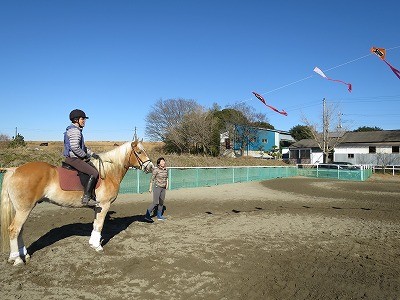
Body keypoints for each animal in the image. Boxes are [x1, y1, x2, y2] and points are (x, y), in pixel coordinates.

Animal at [0, 139, 153, 266]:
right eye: (139, 152)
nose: (151, 167)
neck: (108, 172)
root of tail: (15, 170)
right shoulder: (104, 205)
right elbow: (99, 225)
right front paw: (98, 247)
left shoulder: (97, 207)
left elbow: (95, 224)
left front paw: (92, 243)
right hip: (24, 209)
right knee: (14, 230)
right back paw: (17, 259)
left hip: (22, 209)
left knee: (20, 230)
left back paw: (23, 255)